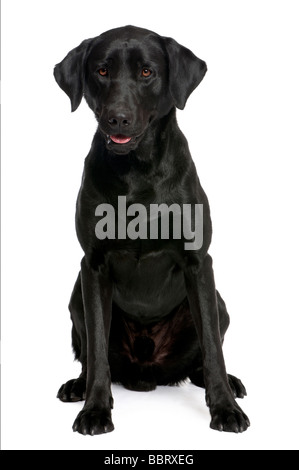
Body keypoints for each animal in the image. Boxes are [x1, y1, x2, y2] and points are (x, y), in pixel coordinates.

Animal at [54, 25, 251, 436]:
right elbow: (97, 348)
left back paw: (229, 383)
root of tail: (148, 374)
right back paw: (77, 386)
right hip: (76, 297)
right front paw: (95, 410)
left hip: (220, 303)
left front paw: (225, 409)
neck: (137, 169)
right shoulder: (93, 266)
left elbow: (213, 349)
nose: (118, 118)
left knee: (205, 354)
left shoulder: (199, 263)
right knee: (90, 354)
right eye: (102, 71)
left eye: (146, 72)